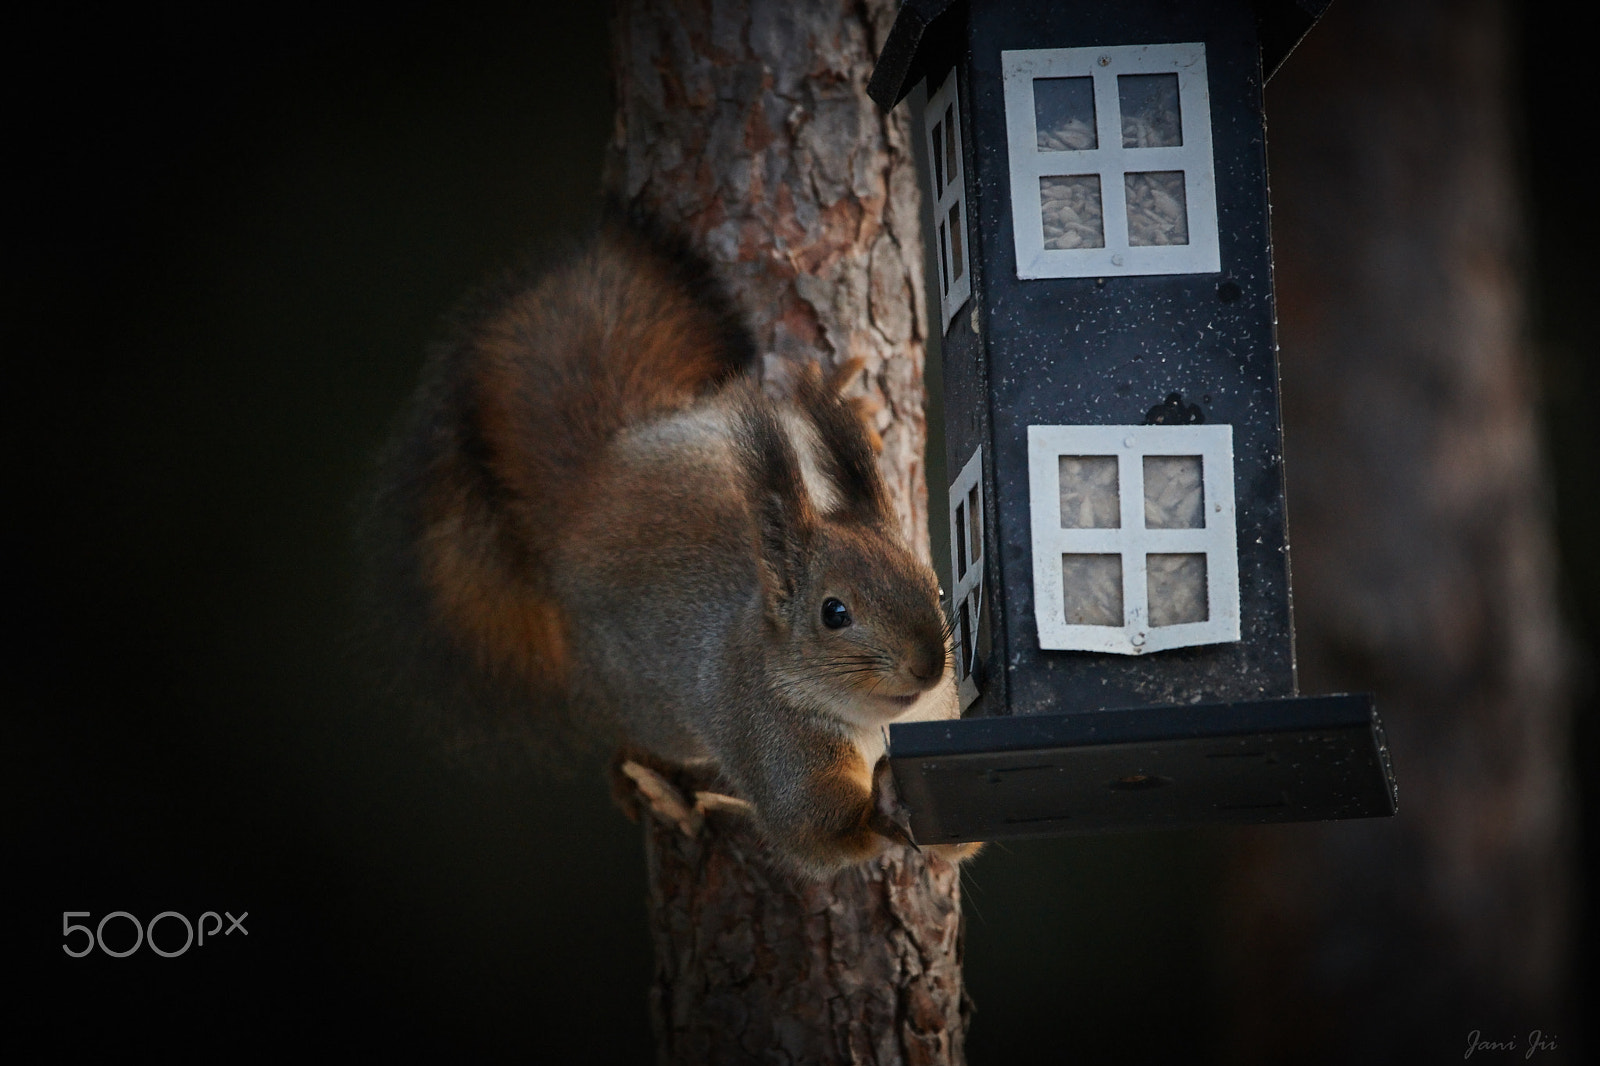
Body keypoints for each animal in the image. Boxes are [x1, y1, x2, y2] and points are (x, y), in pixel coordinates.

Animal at [363, 215, 978, 877]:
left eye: (935, 585)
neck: (873, 723)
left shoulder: (939, 715)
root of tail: (595, 487)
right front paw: (883, 806)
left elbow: (954, 841)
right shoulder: (772, 743)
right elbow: (818, 834)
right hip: (640, 700)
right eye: (833, 613)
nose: (926, 665)